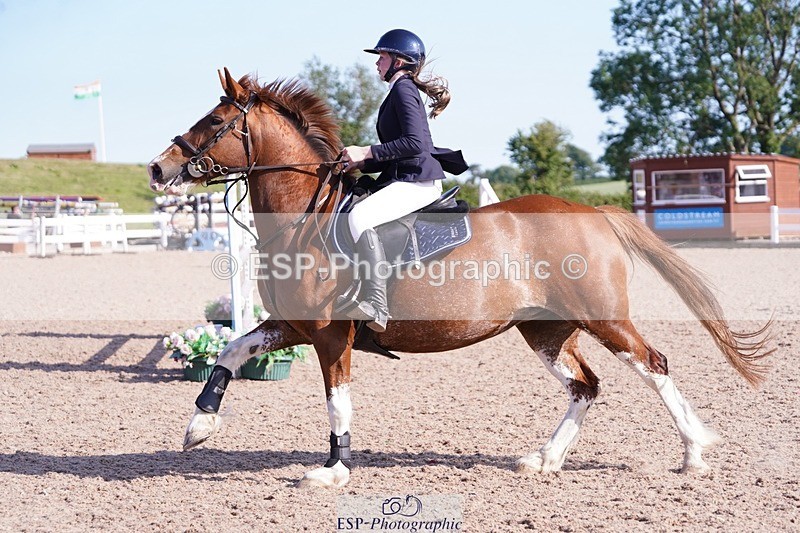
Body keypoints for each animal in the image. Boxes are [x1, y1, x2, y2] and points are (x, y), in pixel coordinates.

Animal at [148, 68, 772, 488]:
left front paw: (333, 470)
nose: (158, 167)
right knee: (585, 386)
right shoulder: (292, 325)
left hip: (603, 317)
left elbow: (336, 400)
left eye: (215, 122)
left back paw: (693, 454)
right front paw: (199, 426)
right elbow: (230, 351)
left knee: (653, 365)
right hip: (545, 329)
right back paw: (545, 459)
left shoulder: (329, 334)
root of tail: (591, 211)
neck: (307, 217)